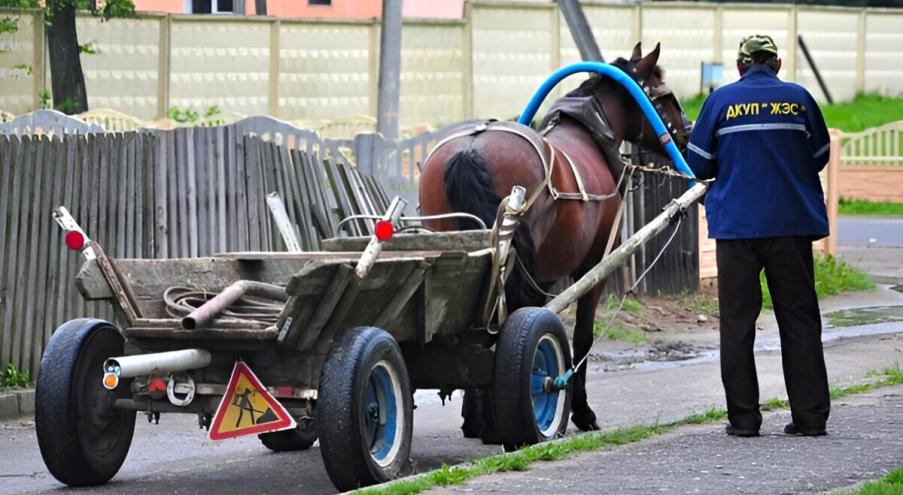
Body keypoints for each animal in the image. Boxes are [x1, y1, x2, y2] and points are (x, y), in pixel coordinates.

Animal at [418, 43, 692, 434]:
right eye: (664, 94)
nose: (687, 130)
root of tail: (470, 150)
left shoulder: (543, 276)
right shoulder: (592, 269)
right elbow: (580, 337)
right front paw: (581, 410)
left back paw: (478, 418)